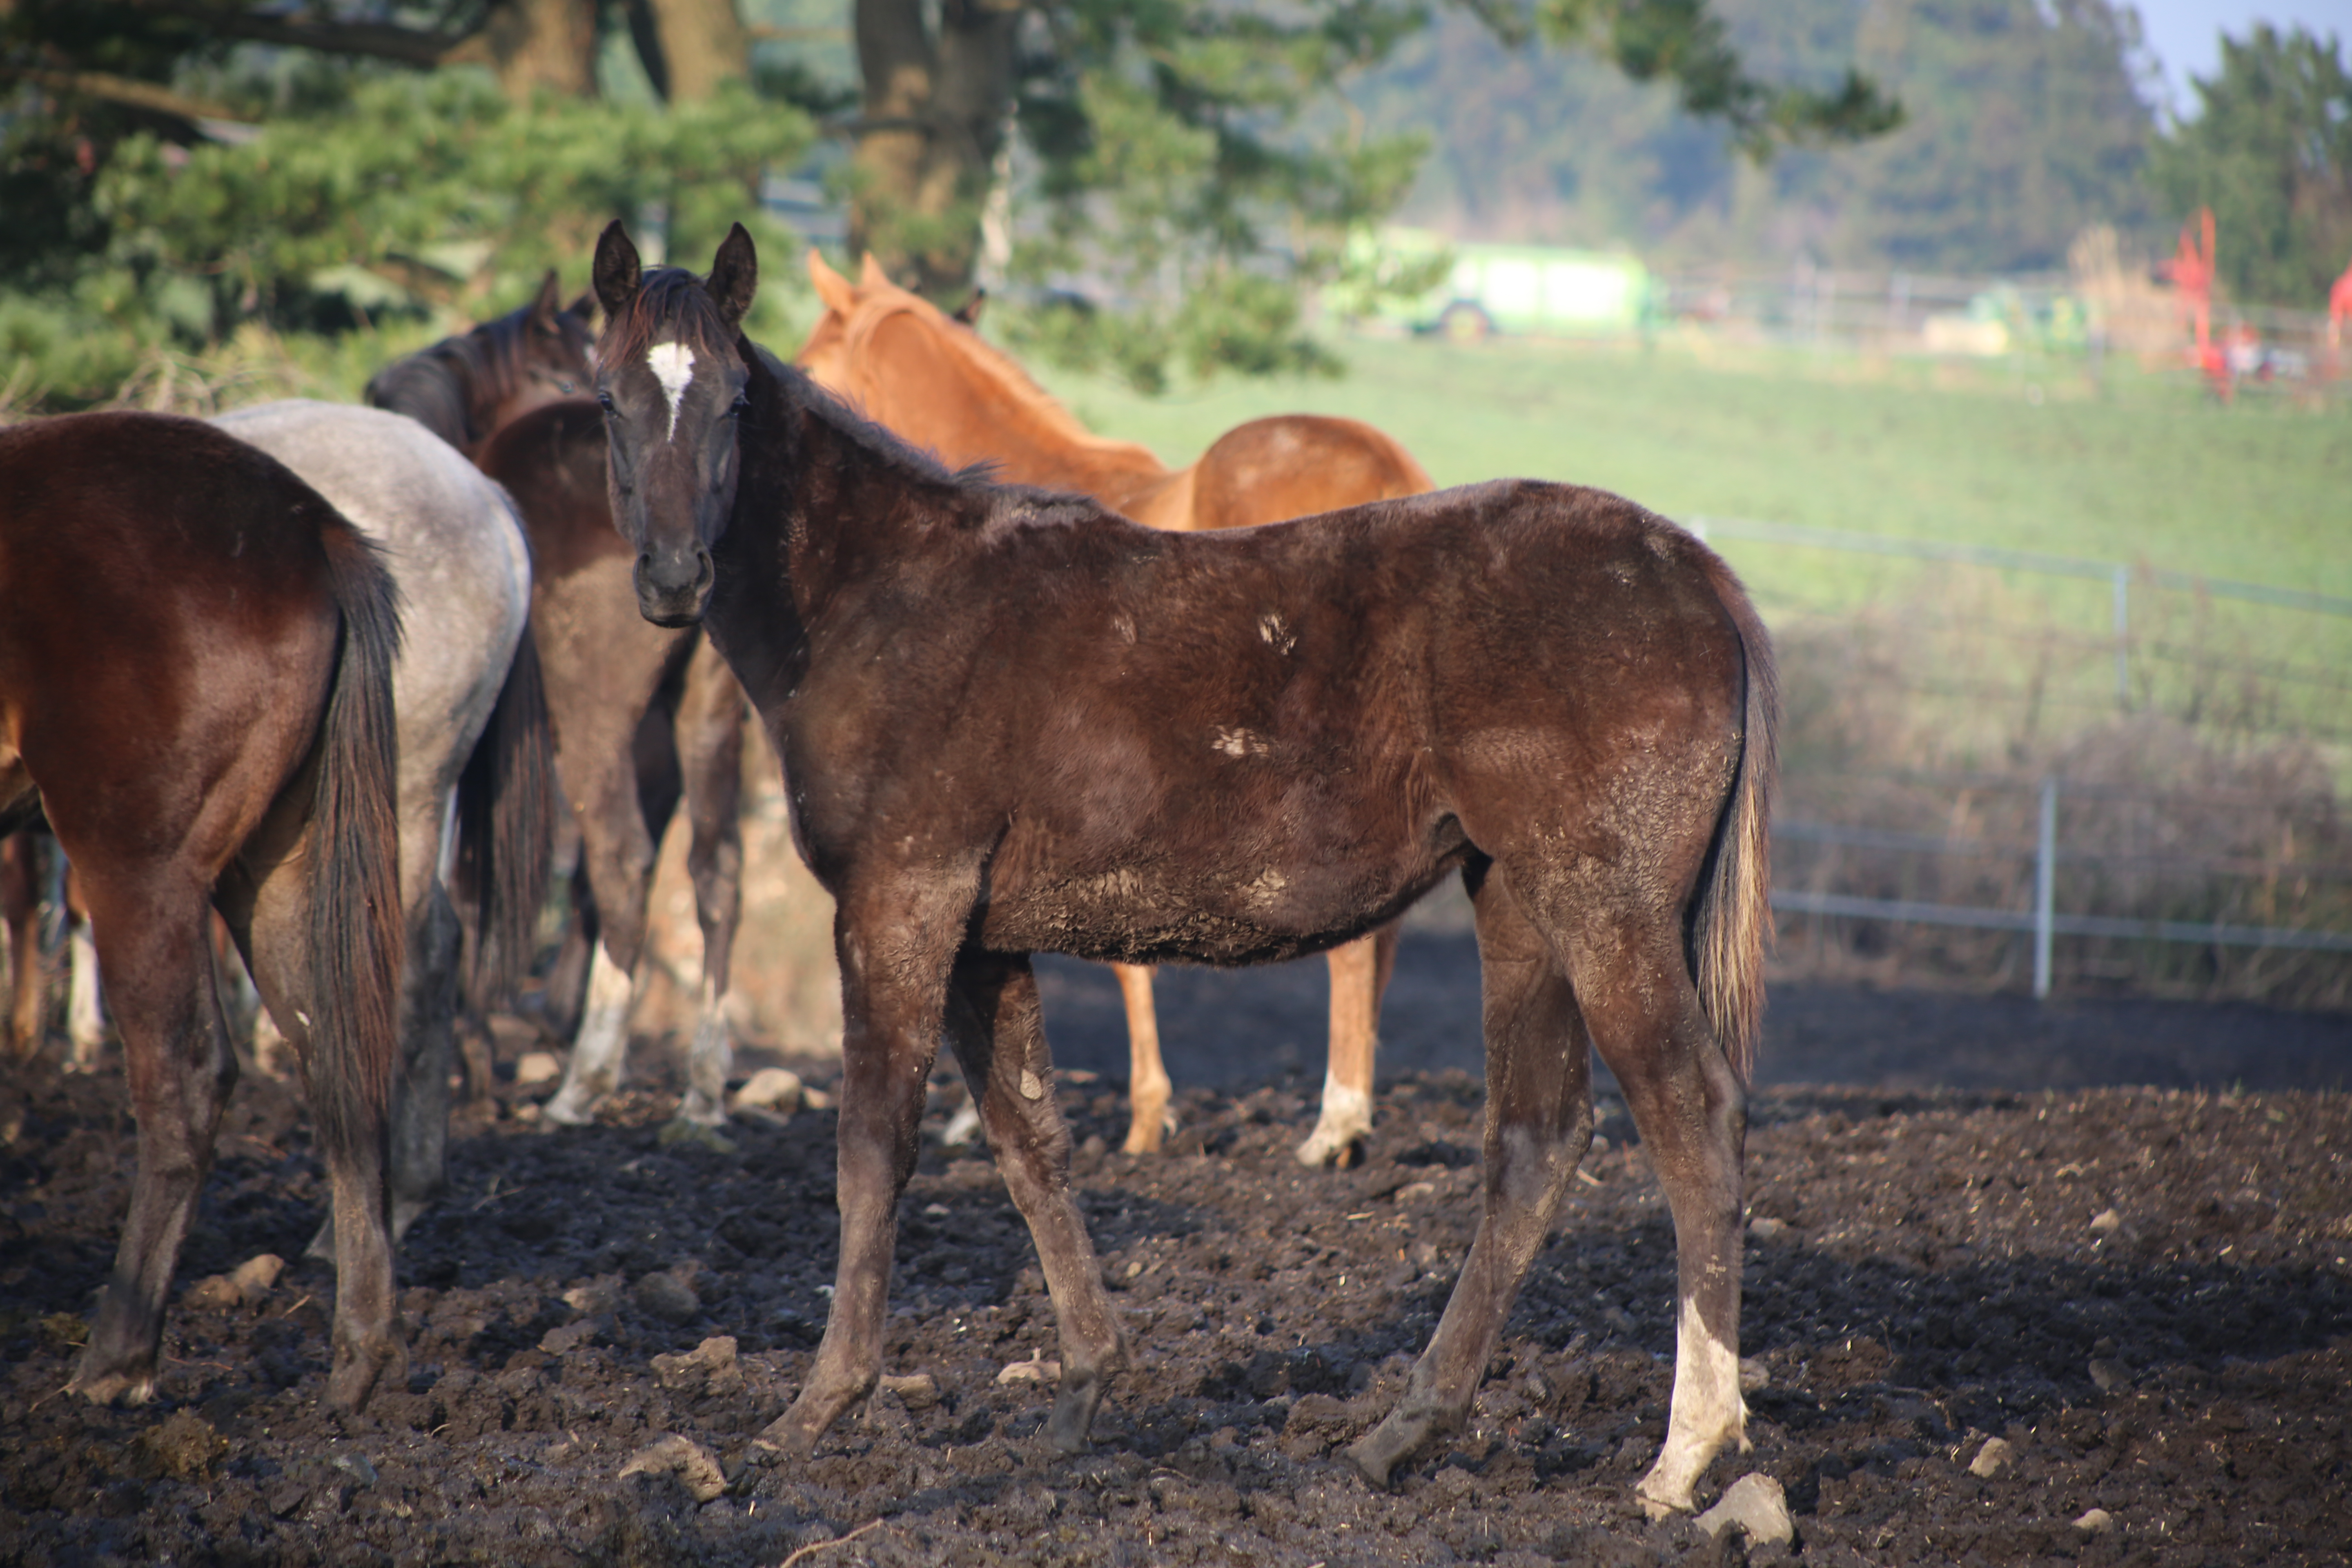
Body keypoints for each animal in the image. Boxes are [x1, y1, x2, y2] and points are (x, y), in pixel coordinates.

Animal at [0, 411, 407, 1420]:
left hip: (138, 868)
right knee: (334, 1057)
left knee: (184, 1078)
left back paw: (116, 1360)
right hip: (274, 866)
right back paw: (358, 1354)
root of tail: (310, 527)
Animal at [372, 282, 748, 1123]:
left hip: (593, 724)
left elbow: (464, 882)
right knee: (716, 871)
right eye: (579, 374)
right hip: (705, 718)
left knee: (624, 861)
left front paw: (472, 1053)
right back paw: (703, 1088)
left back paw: (587, 1077)